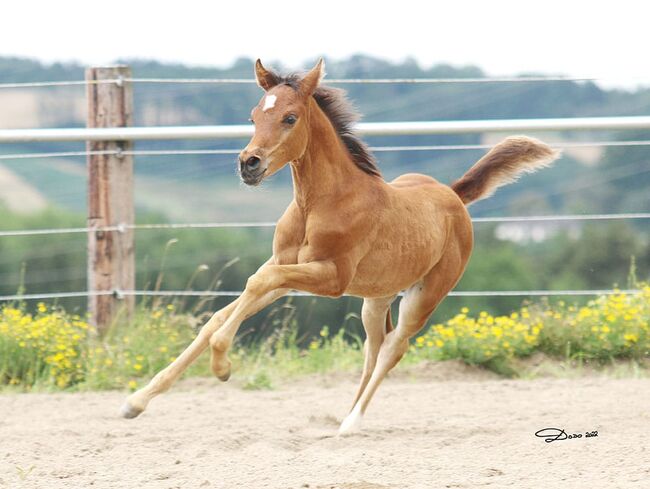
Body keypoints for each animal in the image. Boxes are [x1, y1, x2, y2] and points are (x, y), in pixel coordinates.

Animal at [121, 58, 556, 434]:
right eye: (253, 116)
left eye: (289, 118)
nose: (249, 164)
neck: (319, 203)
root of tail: (453, 196)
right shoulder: (284, 269)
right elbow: (230, 305)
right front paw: (137, 401)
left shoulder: (330, 278)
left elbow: (253, 289)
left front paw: (222, 366)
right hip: (375, 298)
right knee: (373, 349)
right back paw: (344, 415)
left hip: (425, 296)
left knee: (394, 349)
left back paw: (351, 424)